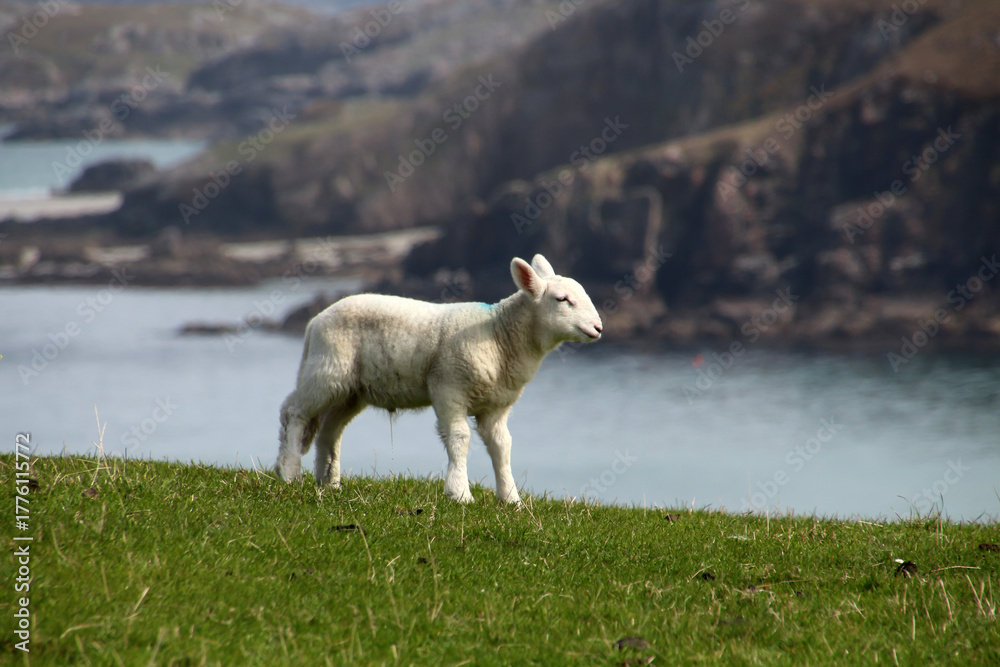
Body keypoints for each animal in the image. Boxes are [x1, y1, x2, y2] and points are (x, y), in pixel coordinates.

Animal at [275, 254, 603, 504]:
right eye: (563, 300)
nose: (599, 328)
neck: (500, 335)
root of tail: (315, 321)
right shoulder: (449, 387)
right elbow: (460, 438)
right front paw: (460, 493)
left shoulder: (496, 405)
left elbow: (502, 446)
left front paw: (511, 499)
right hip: (327, 370)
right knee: (295, 412)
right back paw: (289, 472)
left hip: (351, 389)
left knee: (330, 429)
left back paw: (329, 481)